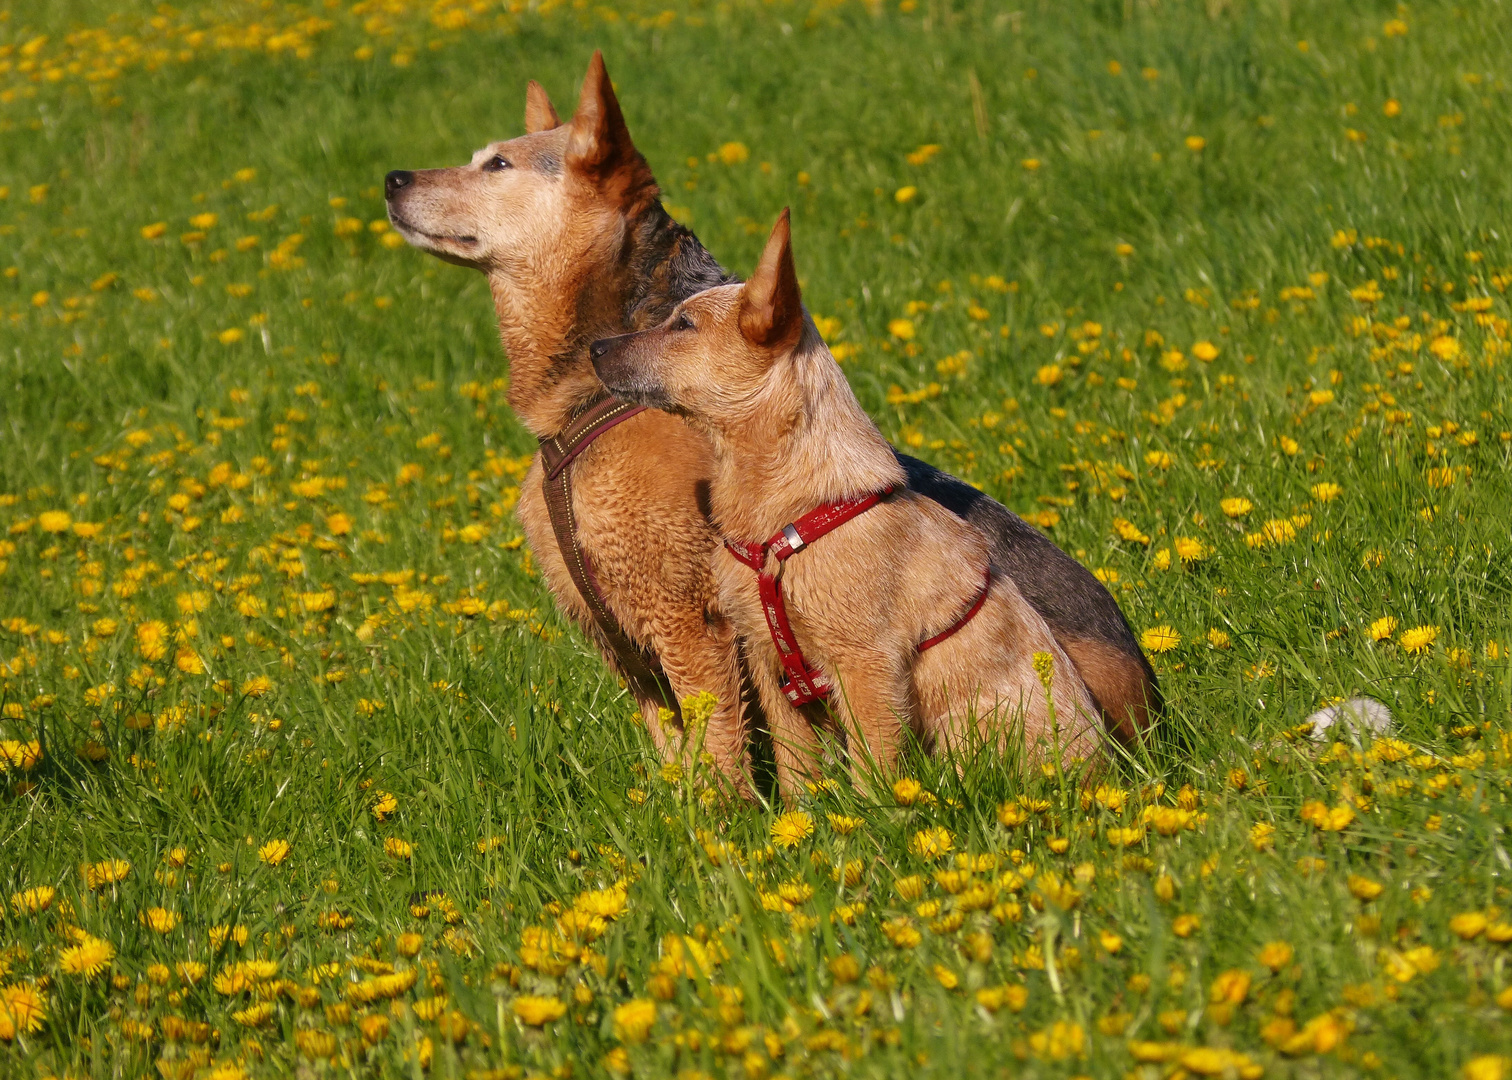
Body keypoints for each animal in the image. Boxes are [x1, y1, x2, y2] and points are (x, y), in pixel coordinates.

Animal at [589, 208, 1100, 792]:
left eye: (683, 326)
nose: (594, 348)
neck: (782, 520)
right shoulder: (770, 665)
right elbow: (796, 771)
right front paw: (802, 820)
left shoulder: (867, 666)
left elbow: (872, 770)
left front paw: (875, 815)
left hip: (974, 726)